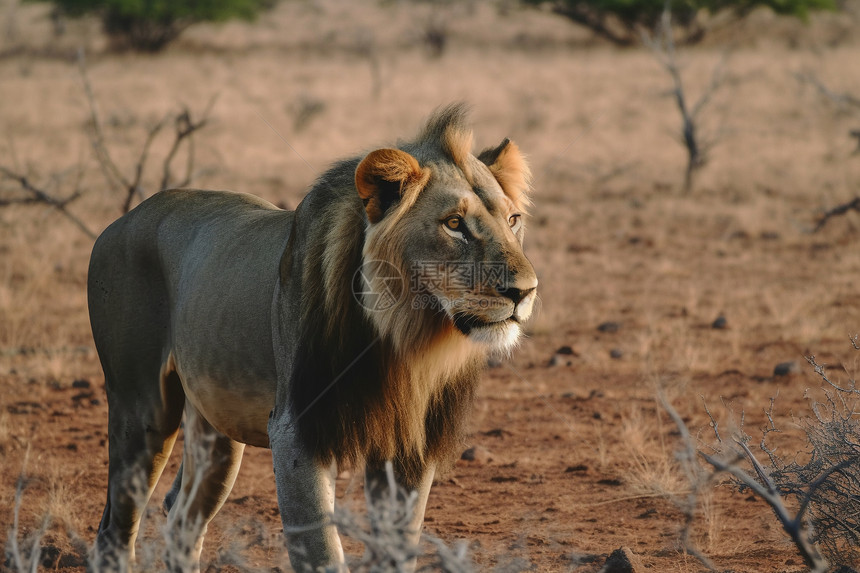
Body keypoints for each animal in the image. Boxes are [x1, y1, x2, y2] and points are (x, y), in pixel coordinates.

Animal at [87, 104, 536, 572]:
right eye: (454, 224)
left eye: (513, 220)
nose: (524, 291)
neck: (404, 340)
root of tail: (120, 220)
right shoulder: (296, 430)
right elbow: (321, 549)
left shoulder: (411, 443)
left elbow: (398, 547)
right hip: (143, 410)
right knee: (115, 530)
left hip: (216, 431)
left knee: (181, 516)